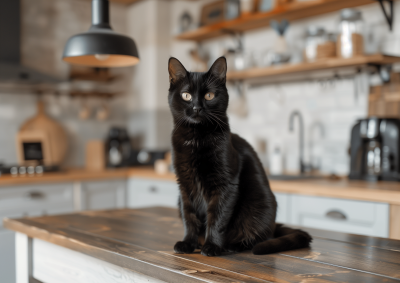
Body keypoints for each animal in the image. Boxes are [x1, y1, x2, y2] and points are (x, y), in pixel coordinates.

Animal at [167, 56, 310, 258]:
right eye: (186, 95)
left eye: (209, 96)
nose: (197, 108)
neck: (196, 138)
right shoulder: (185, 185)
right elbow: (189, 217)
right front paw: (188, 243)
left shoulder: (226, 185)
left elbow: (217, 218)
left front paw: (212, 246)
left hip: (260, 207)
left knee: (258, 236)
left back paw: (233, 245)